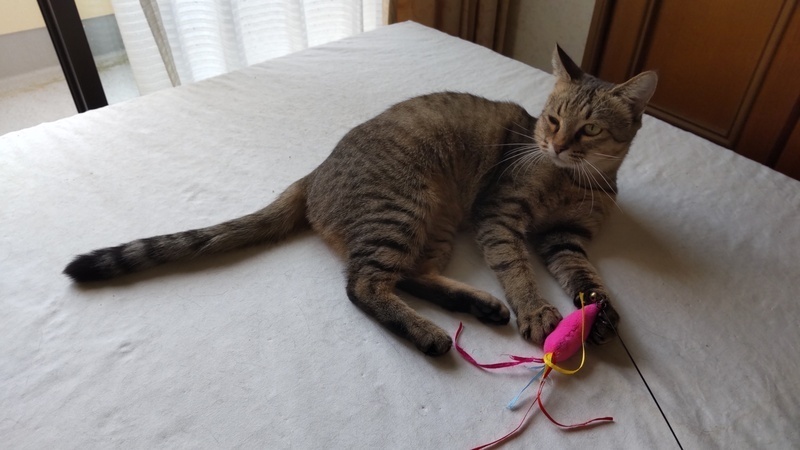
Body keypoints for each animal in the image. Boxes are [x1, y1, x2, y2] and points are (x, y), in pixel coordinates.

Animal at [64, 46, 657, 356]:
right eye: (552, 120)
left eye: (589, 129)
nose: (554, 144)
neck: (576, 181)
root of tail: (314, 173)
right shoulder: (499, 216)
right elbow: (517, 268)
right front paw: (536, 310)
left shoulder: (566, 239)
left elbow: (586, 277)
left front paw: (599, 311)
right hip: (404, 209)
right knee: (363, 285)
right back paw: (431, 333)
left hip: (433, 222)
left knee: (409, 276)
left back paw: (476, 304)